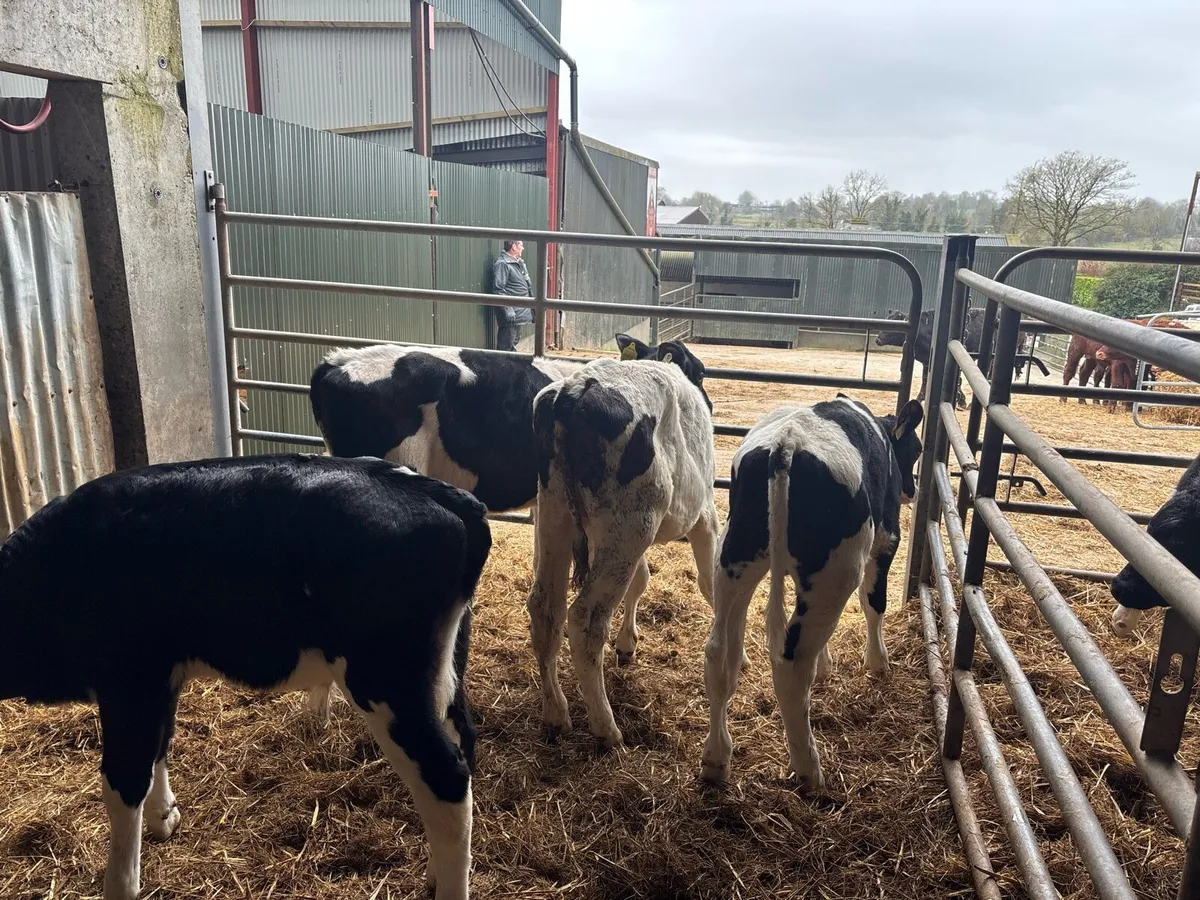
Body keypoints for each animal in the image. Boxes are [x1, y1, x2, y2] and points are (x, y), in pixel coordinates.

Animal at [0, 454, 491, 900]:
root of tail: (436, 491)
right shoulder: (160, 678)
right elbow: (162, 743)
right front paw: (164, 817)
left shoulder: (129, 678)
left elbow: (123, 781)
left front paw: (122, 882)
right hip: (440, 673)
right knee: (460, 745)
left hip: (385, 681)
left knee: (446, 777)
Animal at [527, 340, 720, 748]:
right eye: (701, 372)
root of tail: (574, 389)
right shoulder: (704, 514)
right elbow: (709, 581)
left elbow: (640, 580)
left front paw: (627, 643)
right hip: (627, 528)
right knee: (584, 620)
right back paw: (606, 728)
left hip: (557, 516)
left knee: (545, 608)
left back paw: (556, 713)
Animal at [699, 395, 924, 791]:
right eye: (916, 449)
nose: (911, 491)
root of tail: (784, 446)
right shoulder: (886, 539)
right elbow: (874, 604)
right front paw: (878, 663)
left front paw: (827, 667)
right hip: (834, 574)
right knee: (792, 664)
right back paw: (809, 770)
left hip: (734, 561)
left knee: (720, 655)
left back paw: (716, 758)